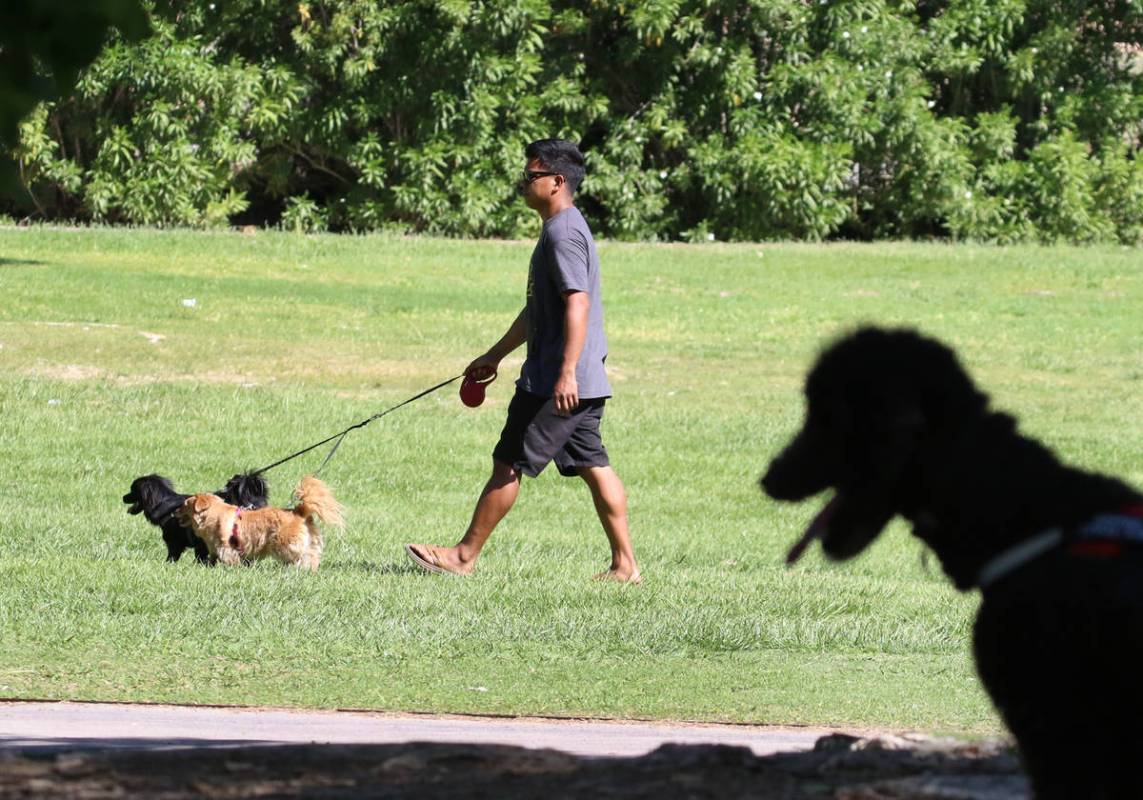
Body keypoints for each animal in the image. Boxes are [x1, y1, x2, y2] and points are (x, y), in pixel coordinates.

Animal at [124, 468, 268, 562]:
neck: (164, 502)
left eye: (132, 490)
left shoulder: (175, 543)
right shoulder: (200, 545)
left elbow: (172, 557)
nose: (123, 497)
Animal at [176, 475, 340, 569]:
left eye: (184, 505)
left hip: (284, 544)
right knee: (312, 556)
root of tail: (299, 511)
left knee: (301, 557)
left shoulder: (226, 547)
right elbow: (212, 558)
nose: (173, 512)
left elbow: (229, 558)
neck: (214, 514)